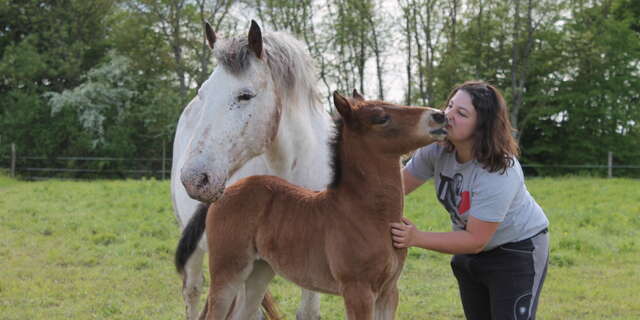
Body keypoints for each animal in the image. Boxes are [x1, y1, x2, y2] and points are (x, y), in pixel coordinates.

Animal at [200, 91, 444, 318]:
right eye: (381, 118)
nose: (439, 116)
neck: (371, 216)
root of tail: (226, 191)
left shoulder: (389, 292)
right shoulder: (358, 290)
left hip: (260, 271)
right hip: (227, 272)